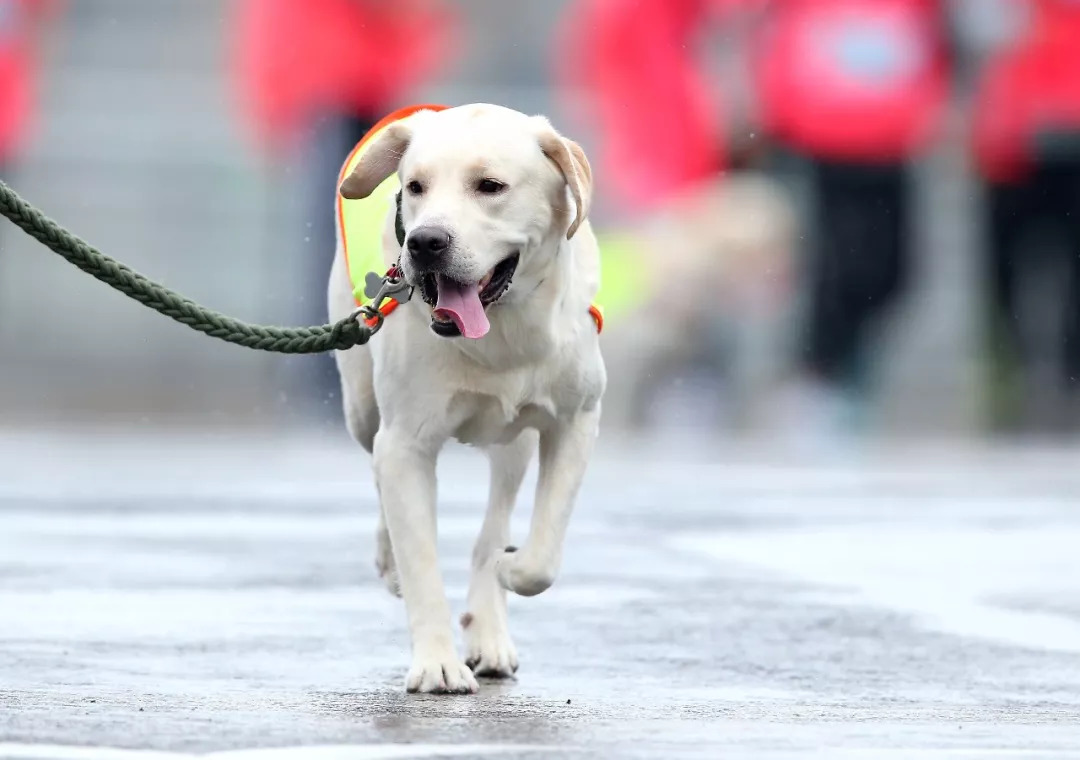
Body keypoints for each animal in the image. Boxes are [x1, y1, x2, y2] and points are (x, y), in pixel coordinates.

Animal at [324, 103, 604, 690]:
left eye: (490, 186)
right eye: (415, 186)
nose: (425, 242)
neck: (501, 334)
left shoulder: (577, 421)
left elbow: (542, 557)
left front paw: (511, 567)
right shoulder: (404, 444)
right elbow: (422, 561)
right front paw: (437, 664)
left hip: (514, 444)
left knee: (492, 525)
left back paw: (489, 626)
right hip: (362, 408)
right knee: (378, 472)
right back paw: (390, 561)